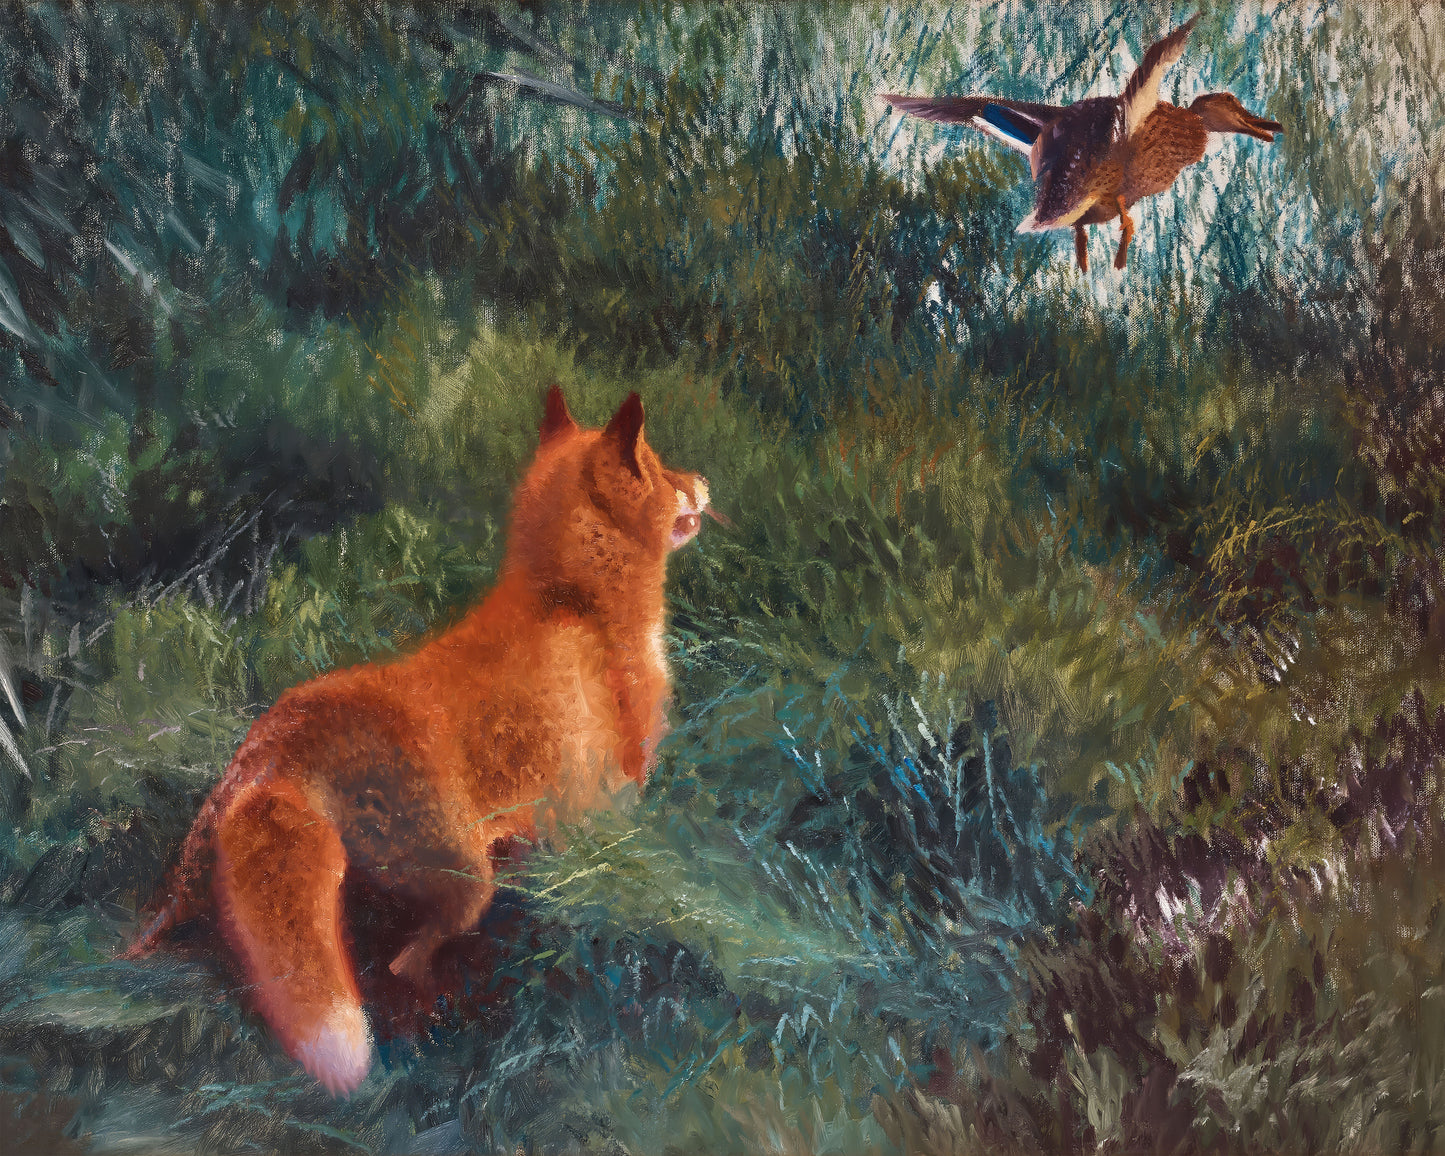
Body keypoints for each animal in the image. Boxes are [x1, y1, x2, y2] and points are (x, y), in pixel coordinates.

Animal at [124, 387, 713, 1095]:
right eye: (662, 470)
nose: (705, 482)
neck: (569, 603)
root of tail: (277, 742)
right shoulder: (596, 810)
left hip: (193, 892)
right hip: (464, 878)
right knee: (406, 963)